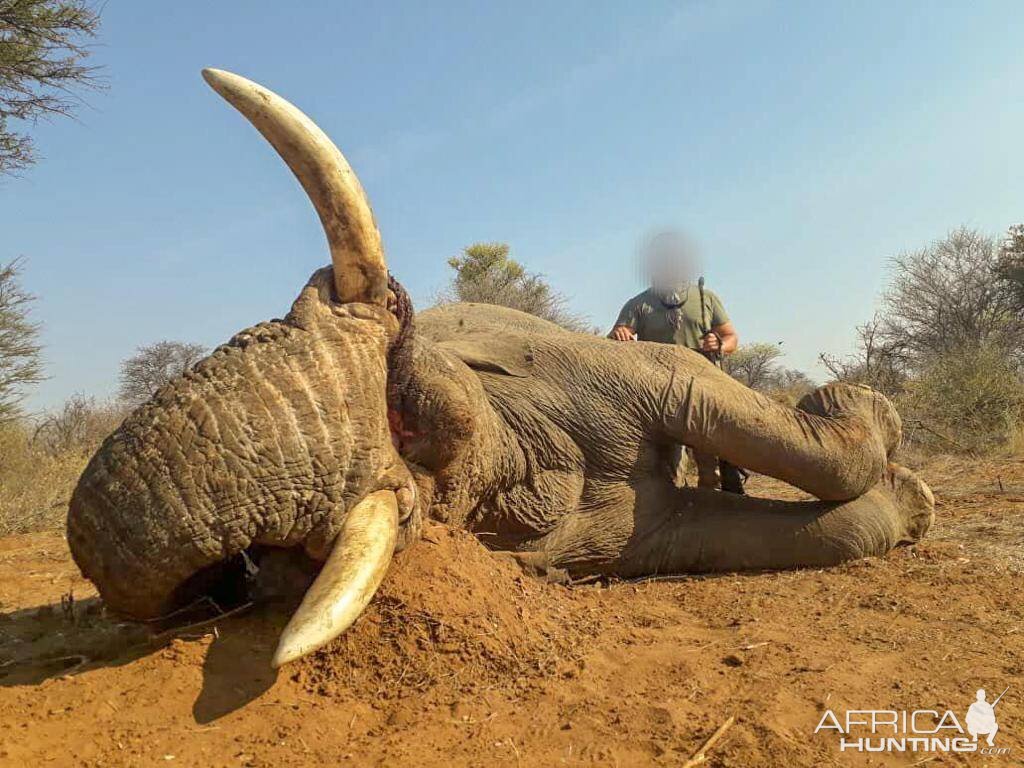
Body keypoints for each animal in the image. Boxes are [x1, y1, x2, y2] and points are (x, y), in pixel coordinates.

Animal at [64, 69, 933, 671]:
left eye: (418, 401)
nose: (219, 575)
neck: (513, 454)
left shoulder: (606, 370)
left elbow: (700, 389)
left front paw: (870, 430)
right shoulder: (611, 540)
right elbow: (763, 531)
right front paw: (905, 494)